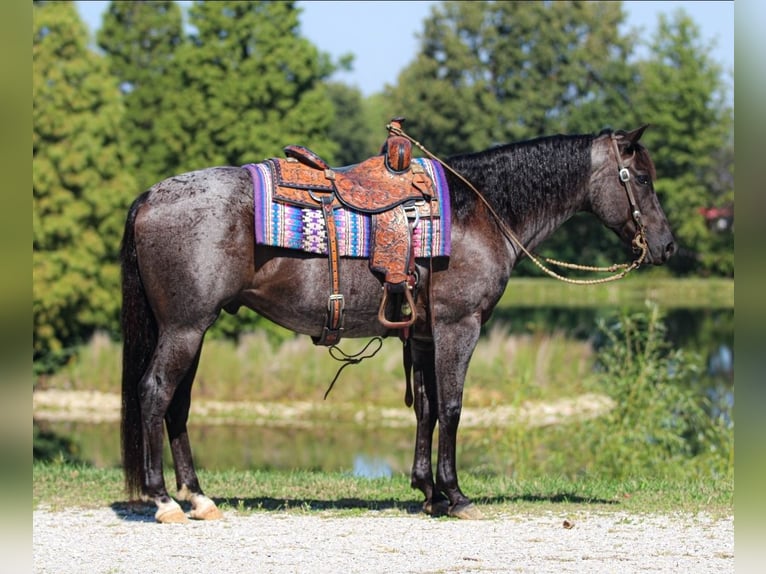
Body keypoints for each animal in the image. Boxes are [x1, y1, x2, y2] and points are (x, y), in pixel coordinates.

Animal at [120, 125, 676, 523]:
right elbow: (452, 407)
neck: (479, 213)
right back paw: (163, 500)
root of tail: (151, 195)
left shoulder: (424, 336)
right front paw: (455, 494)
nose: (667, 246)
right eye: (643, 179)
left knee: (177, 405)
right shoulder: (458, 327)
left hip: (192, 329)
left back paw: (198, 498)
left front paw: (428, 491)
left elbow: (426, 410)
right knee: (154, 393)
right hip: (185, 328)